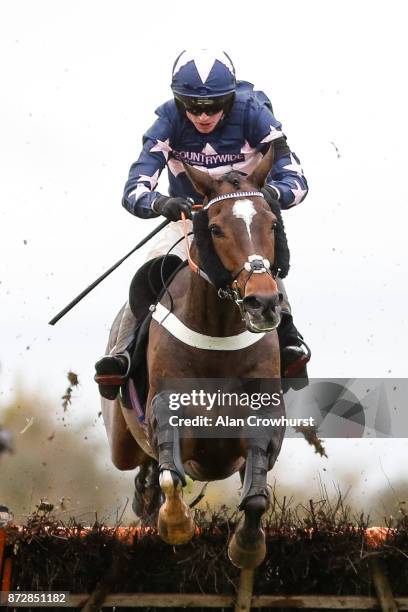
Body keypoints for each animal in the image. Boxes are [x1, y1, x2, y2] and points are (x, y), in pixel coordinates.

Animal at [101, 145, 290, 568]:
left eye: (272, 223)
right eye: (216, 229)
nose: (263, 303)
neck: (218, 333)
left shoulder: (262, 413)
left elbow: (256, 493)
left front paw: (247, 544)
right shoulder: (167, 406)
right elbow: (170, 473)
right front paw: (176, 524)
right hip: (120, 441)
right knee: (142, 467)